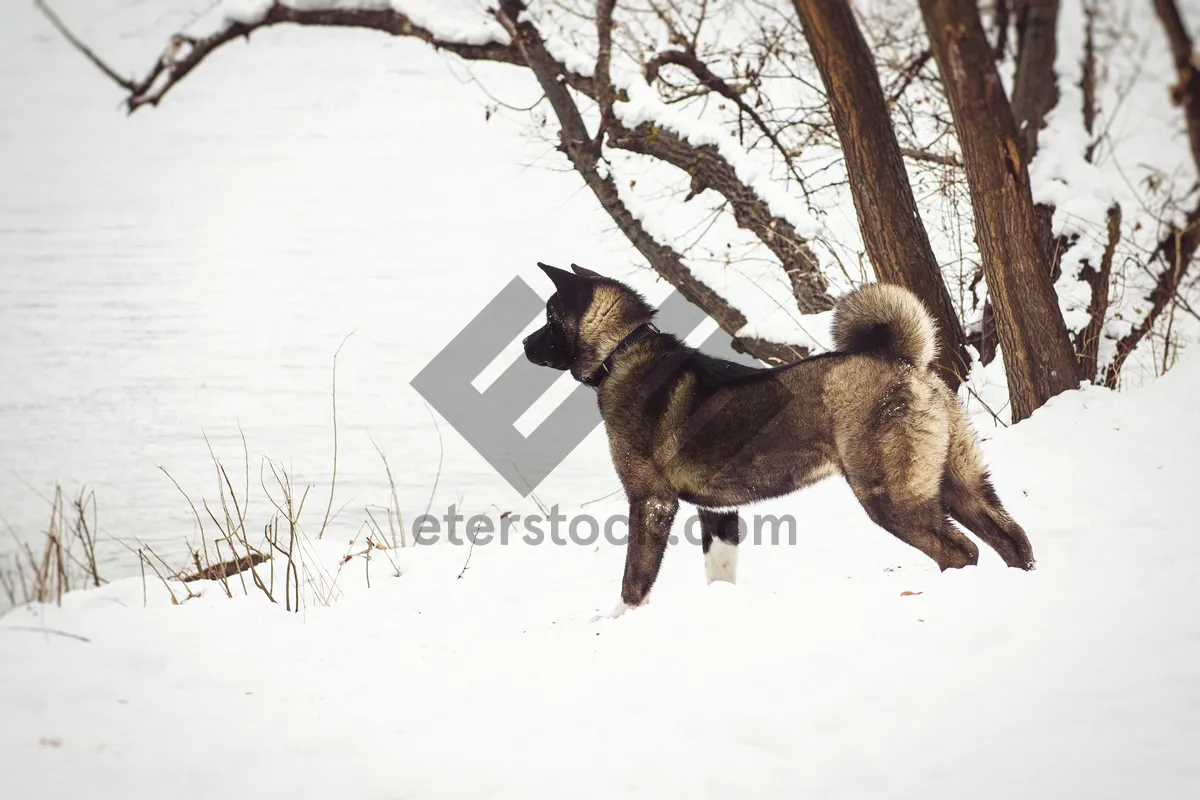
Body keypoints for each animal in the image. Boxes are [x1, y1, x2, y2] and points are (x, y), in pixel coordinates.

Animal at [528, 266, 1041, 618]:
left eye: (550, 316)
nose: (524, 345)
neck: (621, 352)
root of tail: (901, 360)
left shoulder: (651, 501)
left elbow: (634, 579)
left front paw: (617, 621)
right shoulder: (717, 511)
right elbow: (720, 572)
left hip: (892, 497)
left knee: (962, 552)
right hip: (961, 482)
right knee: (1012, 539)